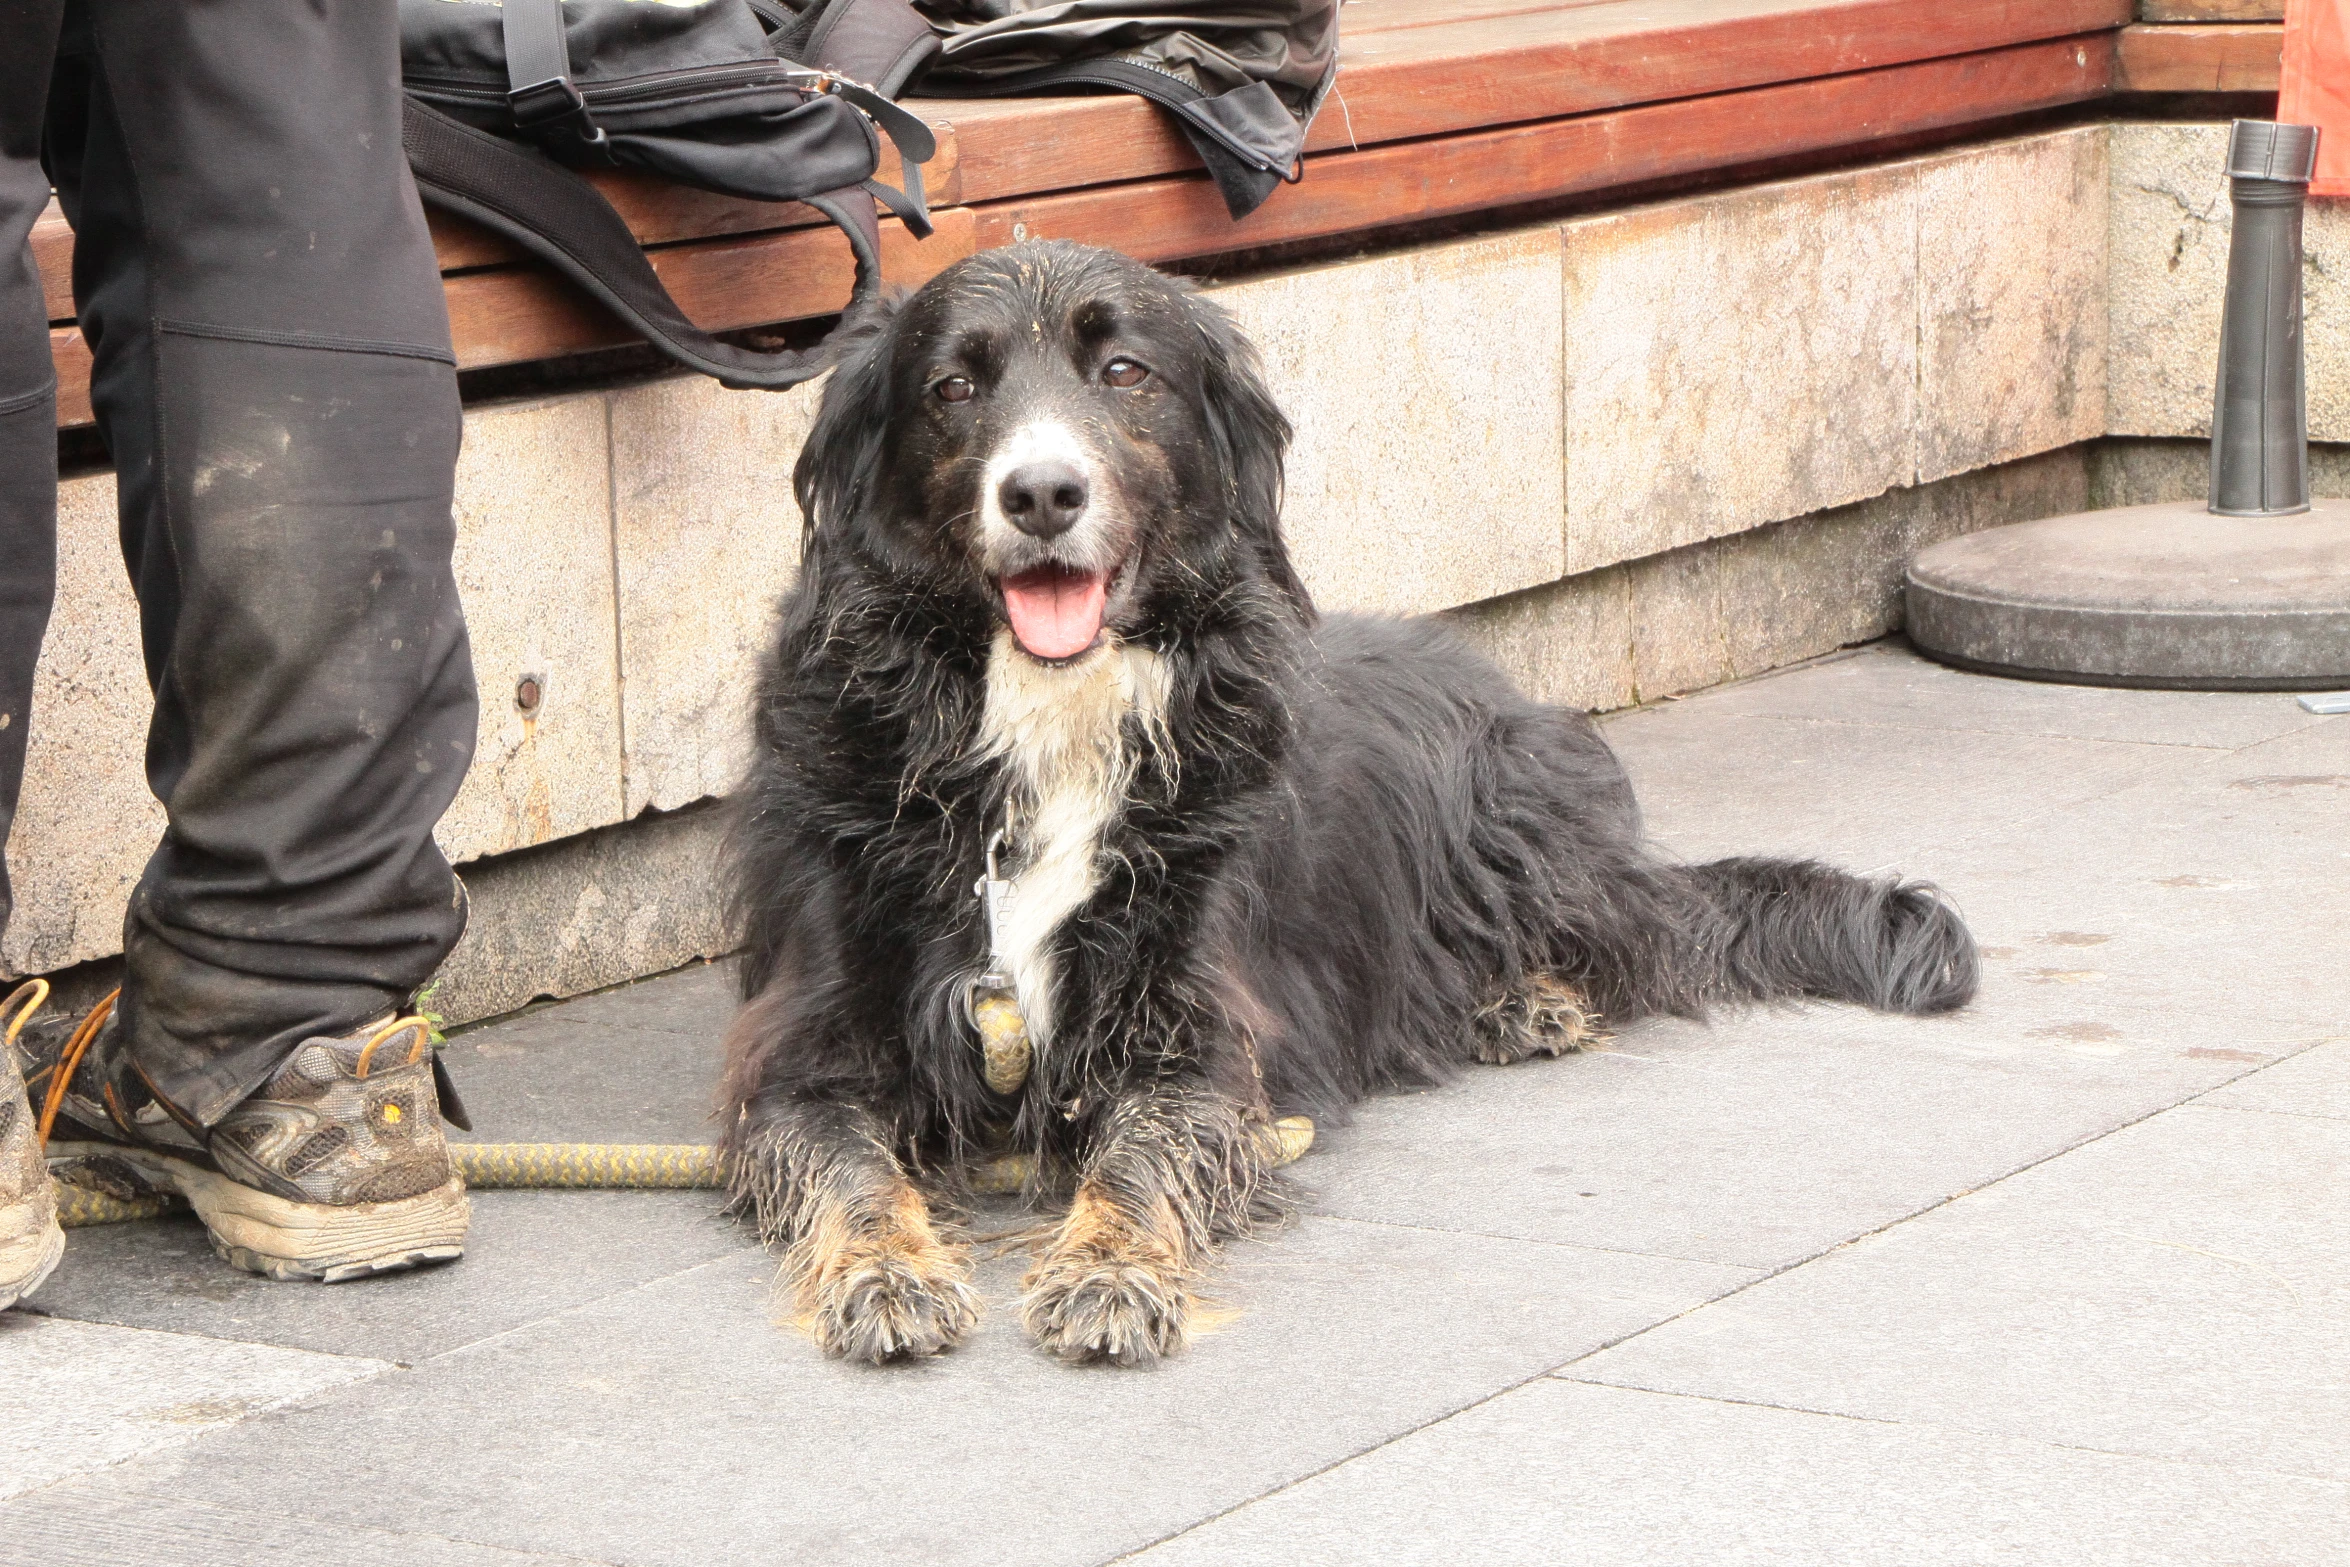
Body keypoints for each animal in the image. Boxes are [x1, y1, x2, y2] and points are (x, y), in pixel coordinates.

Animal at [723, 239, 1973, 1362]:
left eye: (1124, 370)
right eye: (952, 387)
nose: (1040, 492)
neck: (1046, 714)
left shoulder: (1199, 1040)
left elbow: (1143, 1157)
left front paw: (1110, 1272)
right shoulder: (803, 1049)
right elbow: (849, 1168)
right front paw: (887, 1273)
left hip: (1519, 819)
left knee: (1634, 938)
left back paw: (1525, 1000)